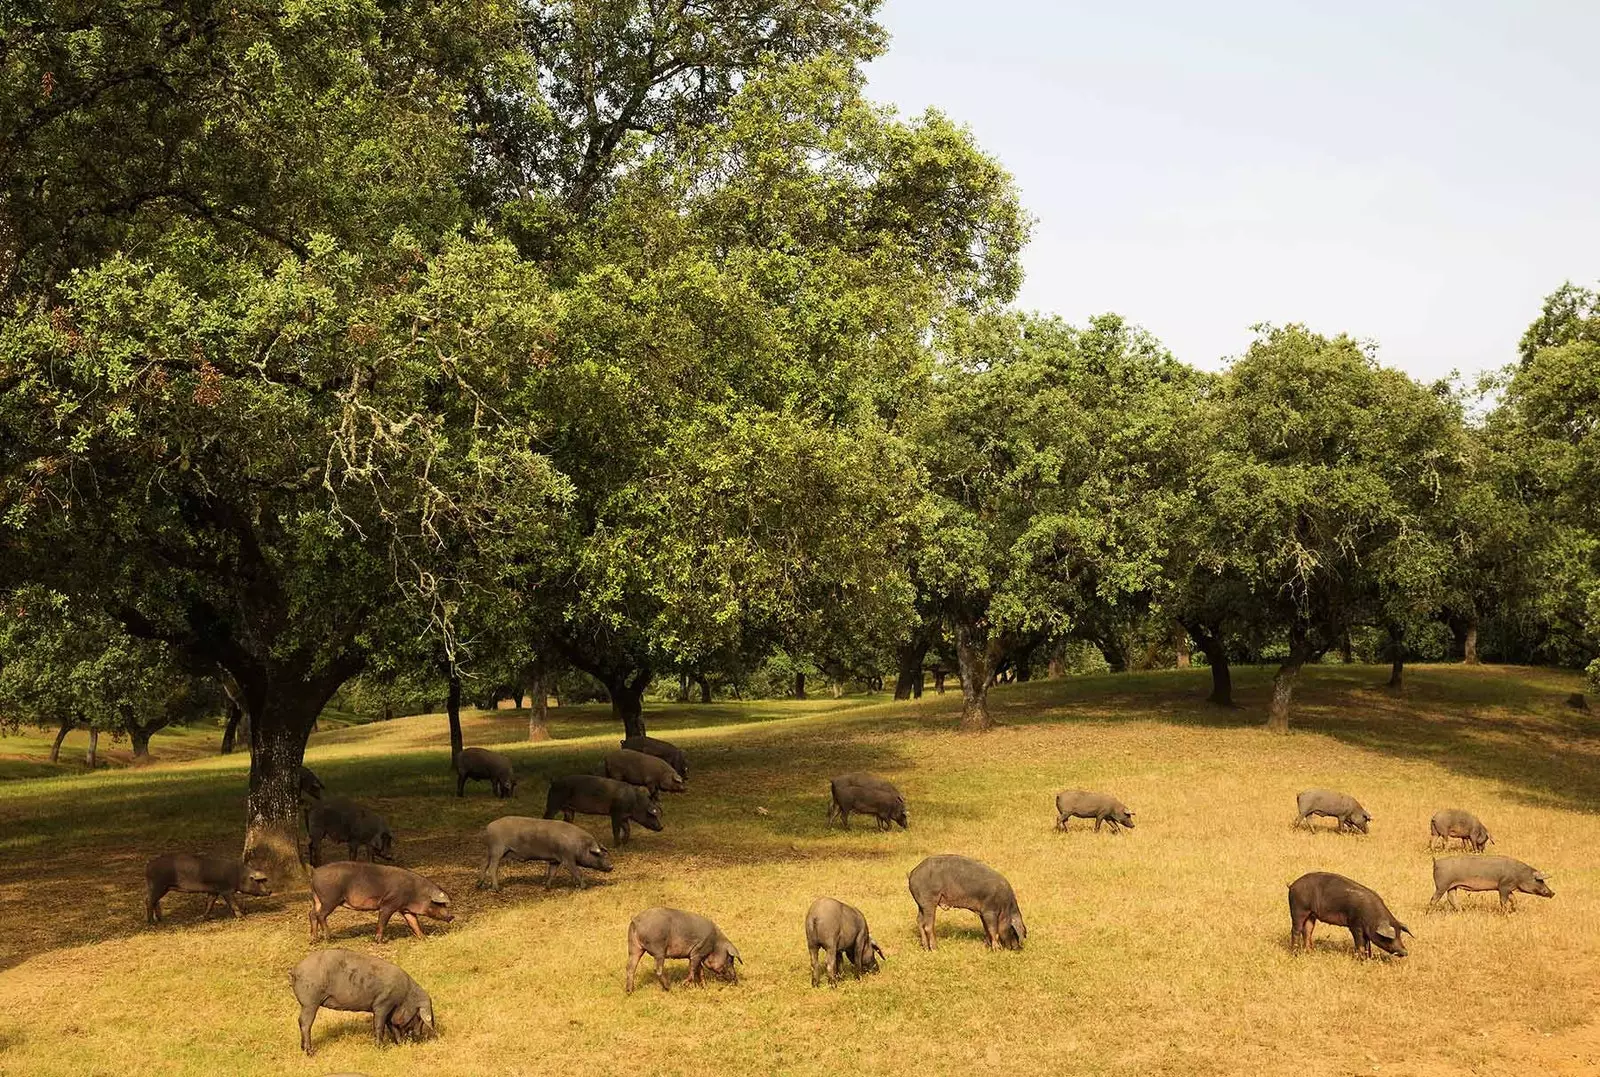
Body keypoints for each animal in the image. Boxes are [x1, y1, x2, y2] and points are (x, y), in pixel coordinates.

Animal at [144, 851, 272, 921]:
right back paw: (151, 922)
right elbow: (233, 903)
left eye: (263, 880)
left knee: (154, 901)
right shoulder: (225, 889)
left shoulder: (213, 891)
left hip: (162, 887)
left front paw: (203, 917)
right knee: (149, 900)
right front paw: (242, 917)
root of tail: (148, 865)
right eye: (258, 881)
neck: (238, 875)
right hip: (158, 885)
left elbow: (209, 903)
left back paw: (160, 919)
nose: (270, 891)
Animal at [289, 947, 435, 1056]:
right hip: (310, 1002)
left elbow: (392, 1026)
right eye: (419, 1017)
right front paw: (381, 1048)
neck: (404, 996)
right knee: (305, 1023)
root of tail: (295, 970)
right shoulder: (382, 1003)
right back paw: (310, 1052)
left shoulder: (390, 1009)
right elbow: (379, 1026)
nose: (419, 1035)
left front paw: (400, 1043)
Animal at [308, 857, 454, 940]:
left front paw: (424, 938)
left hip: (317, 899)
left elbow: (414, 923)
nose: (452, 916)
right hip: (329, 899)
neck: (416, 893)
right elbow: (382, 922)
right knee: (320, 915)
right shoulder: (389, 904)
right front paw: (378, 940)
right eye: (440, 904)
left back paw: (314, 939)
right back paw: (328, 938)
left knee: (312, 914)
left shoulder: (405, 909)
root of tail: (314, 873)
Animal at [473, 816, 611, 889]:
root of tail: (489, 827)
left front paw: (547, 887)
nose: (611, 866)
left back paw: (479, 885)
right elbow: (577, 872)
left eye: (604, 854)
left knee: (483, 863)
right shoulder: (568, 858)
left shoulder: (555, 860)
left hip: (489, 850)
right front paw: (584, 887)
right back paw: (497, 889)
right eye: (598, 854)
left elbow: (552, 873)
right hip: (497, 849)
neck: (580, 845)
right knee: (492, 867)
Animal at [1286, 870, 1414, 953]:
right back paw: (1295, 952)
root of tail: (1292, 885)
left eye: (1400, 934)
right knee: (1296, 929)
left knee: (1307, 930)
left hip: (1311, 914)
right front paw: (1361, 958)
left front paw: (1368, 957)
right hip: (1298, 909)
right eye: (1390, 937)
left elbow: (1367, 943)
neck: (1373, 918)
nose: (1405, 952)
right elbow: (1360, 942)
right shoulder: (1355, 925)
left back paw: (1310, 952)